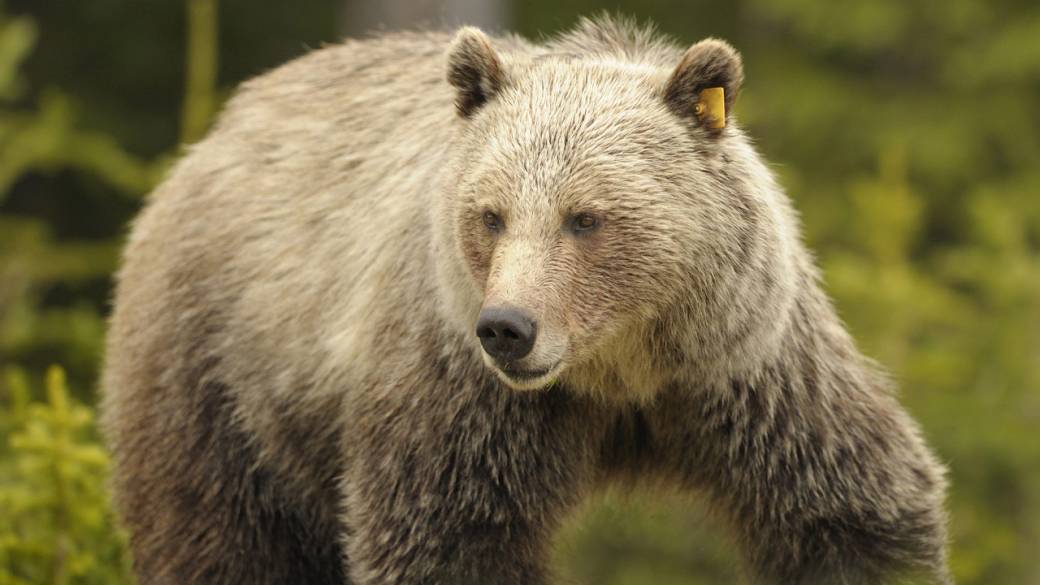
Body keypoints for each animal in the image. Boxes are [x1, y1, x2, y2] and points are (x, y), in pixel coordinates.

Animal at [101, 15, 952, 585]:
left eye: (585, 217)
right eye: (491, 214)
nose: (506, 328)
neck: (619, 373)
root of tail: (212, 134)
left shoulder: (749, 371)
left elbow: (852, 512)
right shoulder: (462, 396)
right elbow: (444, 536)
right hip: (220, 373)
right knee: (216, 534)